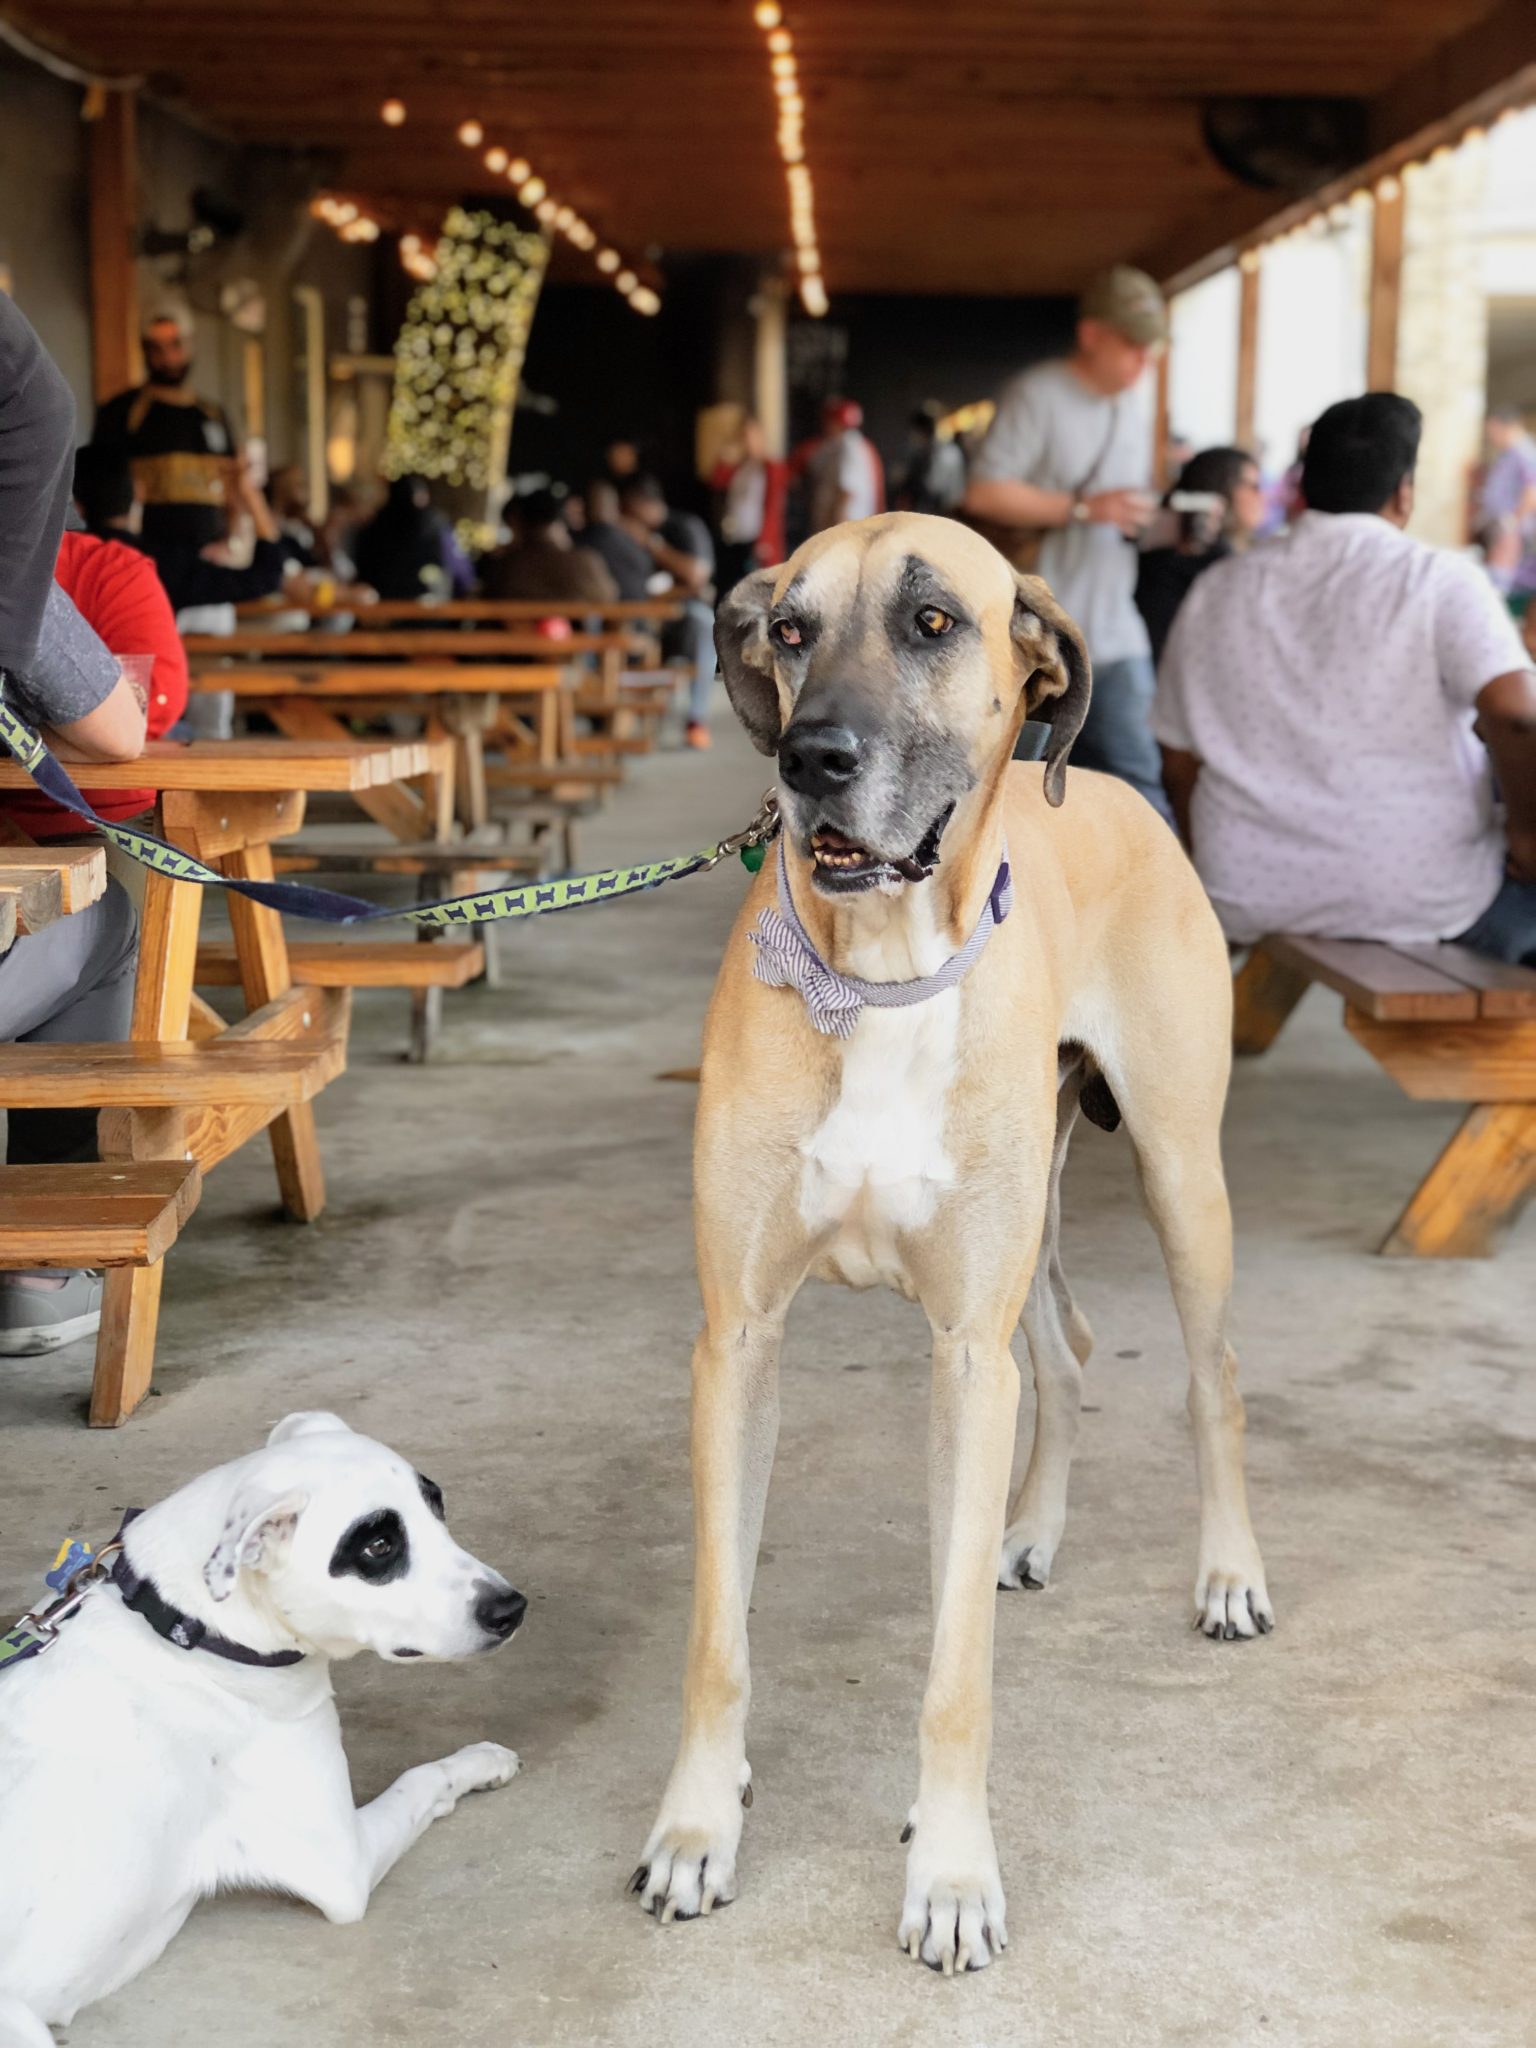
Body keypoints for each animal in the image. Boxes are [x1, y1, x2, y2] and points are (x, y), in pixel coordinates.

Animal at [0, 1409, 524, 2048]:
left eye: (437, 1508)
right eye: (378, 1546)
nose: (512, 1608)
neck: (188, 1630)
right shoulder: (344, 1865)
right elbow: (423, 1778)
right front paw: (483, 1761)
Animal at [638, 512, 1277, 1966]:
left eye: (933, 623)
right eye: (789, 627)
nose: (810, 760)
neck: (875, 974)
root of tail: (1118, 790)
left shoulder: (960, 1353)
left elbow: (954, 1672)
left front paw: (952, 1872)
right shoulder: (736, 1343)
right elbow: (716, 1633)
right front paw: (697, 1826)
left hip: (1179, 1175)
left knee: (1209, 1374)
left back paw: (1226, 1572)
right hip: (1029, 1227)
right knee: (1070, 1348)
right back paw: (1025, 1532)